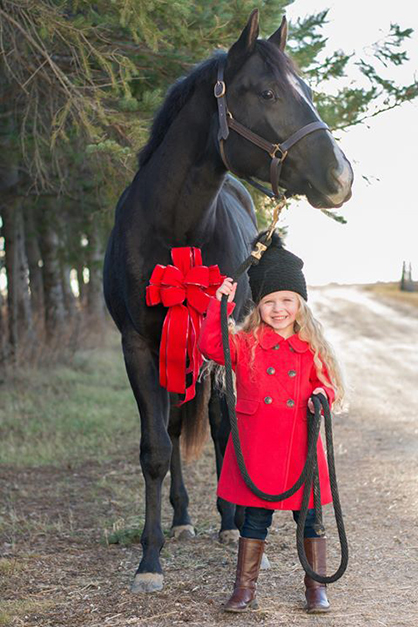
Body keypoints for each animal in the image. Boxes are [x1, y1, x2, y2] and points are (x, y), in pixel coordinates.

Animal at [103, 9, 352, 592]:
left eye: (308, 90)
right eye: (267, 92)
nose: (341, 177)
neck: (171, 231)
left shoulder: (225, 346)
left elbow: (224, 430)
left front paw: (231, 521)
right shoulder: (138, 346)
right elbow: (155, 447)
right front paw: (150, 560)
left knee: (218, 427)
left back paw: (227, 521)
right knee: (176, 428)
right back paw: (184, 517)